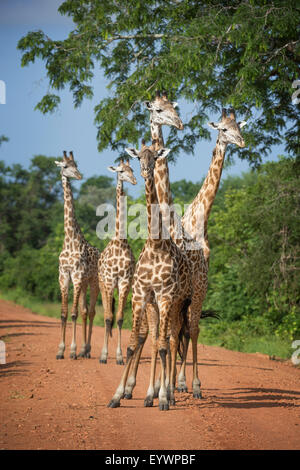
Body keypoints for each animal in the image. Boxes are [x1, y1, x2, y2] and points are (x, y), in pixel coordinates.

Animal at [108, 143, 192, 412]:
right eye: (138, 157)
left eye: (155, 157)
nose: (145, 171)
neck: (156, 244)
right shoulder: (140, 296)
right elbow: (133, 344)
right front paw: (117, 396)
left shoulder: (165, 297)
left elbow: (165, 347)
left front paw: (164, 398)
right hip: (154, 306)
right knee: (156, 339)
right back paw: (148, 394)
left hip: (177, 304)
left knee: (171, 341)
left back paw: (169, 394)